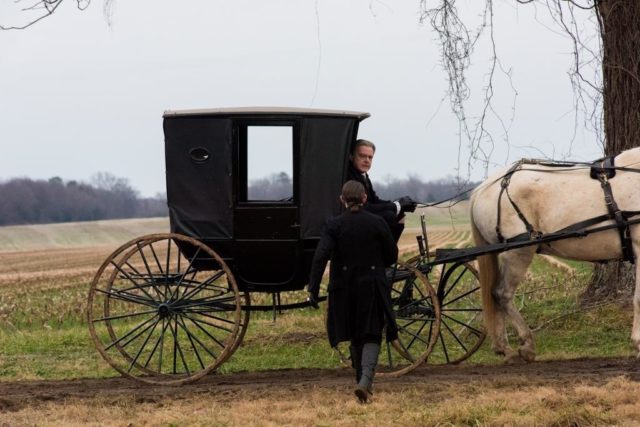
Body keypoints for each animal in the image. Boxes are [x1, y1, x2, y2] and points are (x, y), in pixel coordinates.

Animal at [468, 148, 640, 364]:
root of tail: (483, 188)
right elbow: (638, 298)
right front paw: (638, 344)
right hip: (518, 252)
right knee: (502, 294)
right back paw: (526, 345)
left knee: (494, 295)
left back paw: (503, 348)